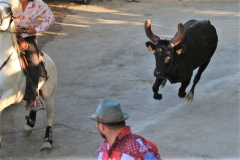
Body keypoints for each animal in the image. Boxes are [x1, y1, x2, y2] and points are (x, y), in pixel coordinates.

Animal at [0, 0, 56, 152]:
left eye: (8, 10)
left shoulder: (11, 94)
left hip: (49, 95)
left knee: (50, 115)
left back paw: (47, 141)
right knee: (33, 104)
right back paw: (28, 126)